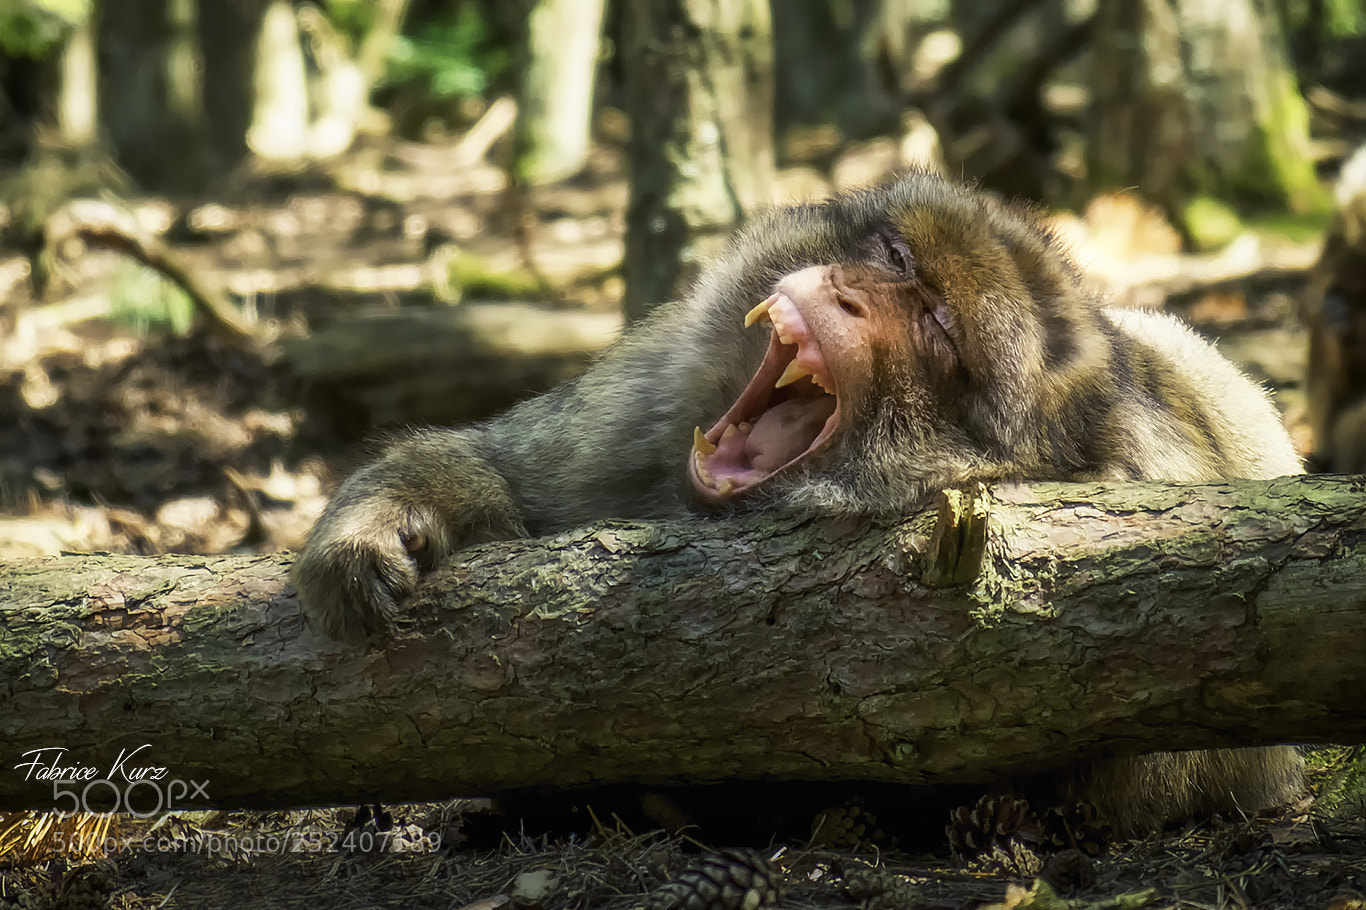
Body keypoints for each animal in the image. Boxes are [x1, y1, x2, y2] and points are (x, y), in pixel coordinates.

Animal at [294, 171, 1304, 837]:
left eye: (938, 325)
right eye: (892, 254)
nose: (851, 295)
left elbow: (1176, 756)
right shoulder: (636, 408)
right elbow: (500, 466)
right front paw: (389, 518)